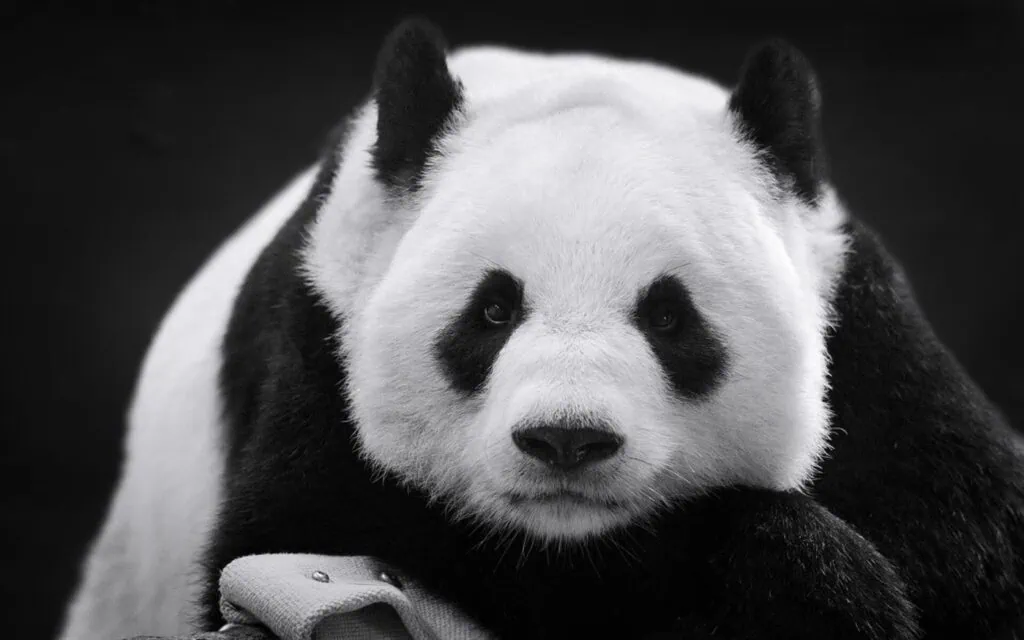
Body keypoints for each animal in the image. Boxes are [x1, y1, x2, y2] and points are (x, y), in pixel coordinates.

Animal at [59, 17, 1024, 640]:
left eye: (669, 316)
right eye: (492, 310)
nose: (567, 440)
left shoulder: (871, 350)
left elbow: (979, 558)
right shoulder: (321, 336)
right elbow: (311, 530)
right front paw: (806, 582)